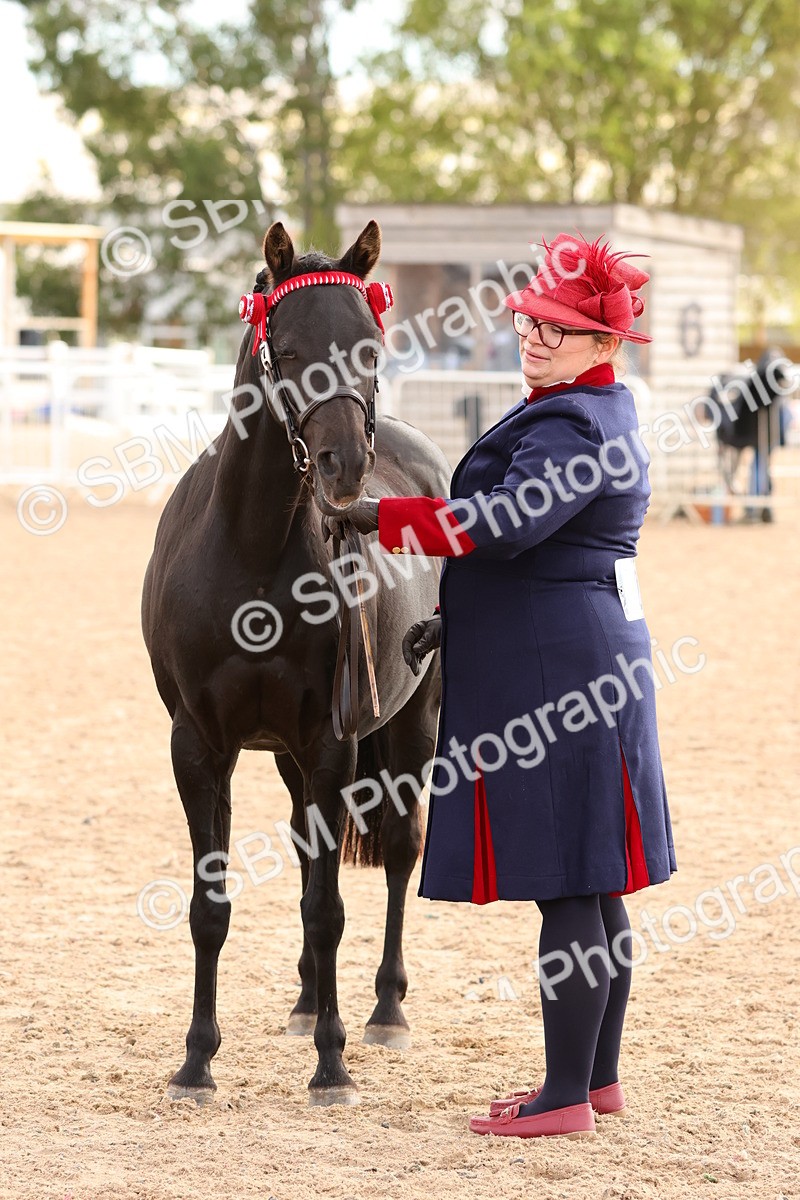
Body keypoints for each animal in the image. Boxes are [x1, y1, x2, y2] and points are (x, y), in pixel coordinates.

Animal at [141, 219, 450, 1106]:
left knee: (400, 849)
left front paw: (333, 1063)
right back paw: (309, 999)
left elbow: (329, 907)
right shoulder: (199, 747)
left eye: (372, 343)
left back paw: (383, 1010)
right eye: (287, 345)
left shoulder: (331, 744)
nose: (345, 468)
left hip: (412, 722)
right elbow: (211, 907)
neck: (249, 550)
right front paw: (196, 1061)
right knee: (312, 850)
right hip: (284, 759)